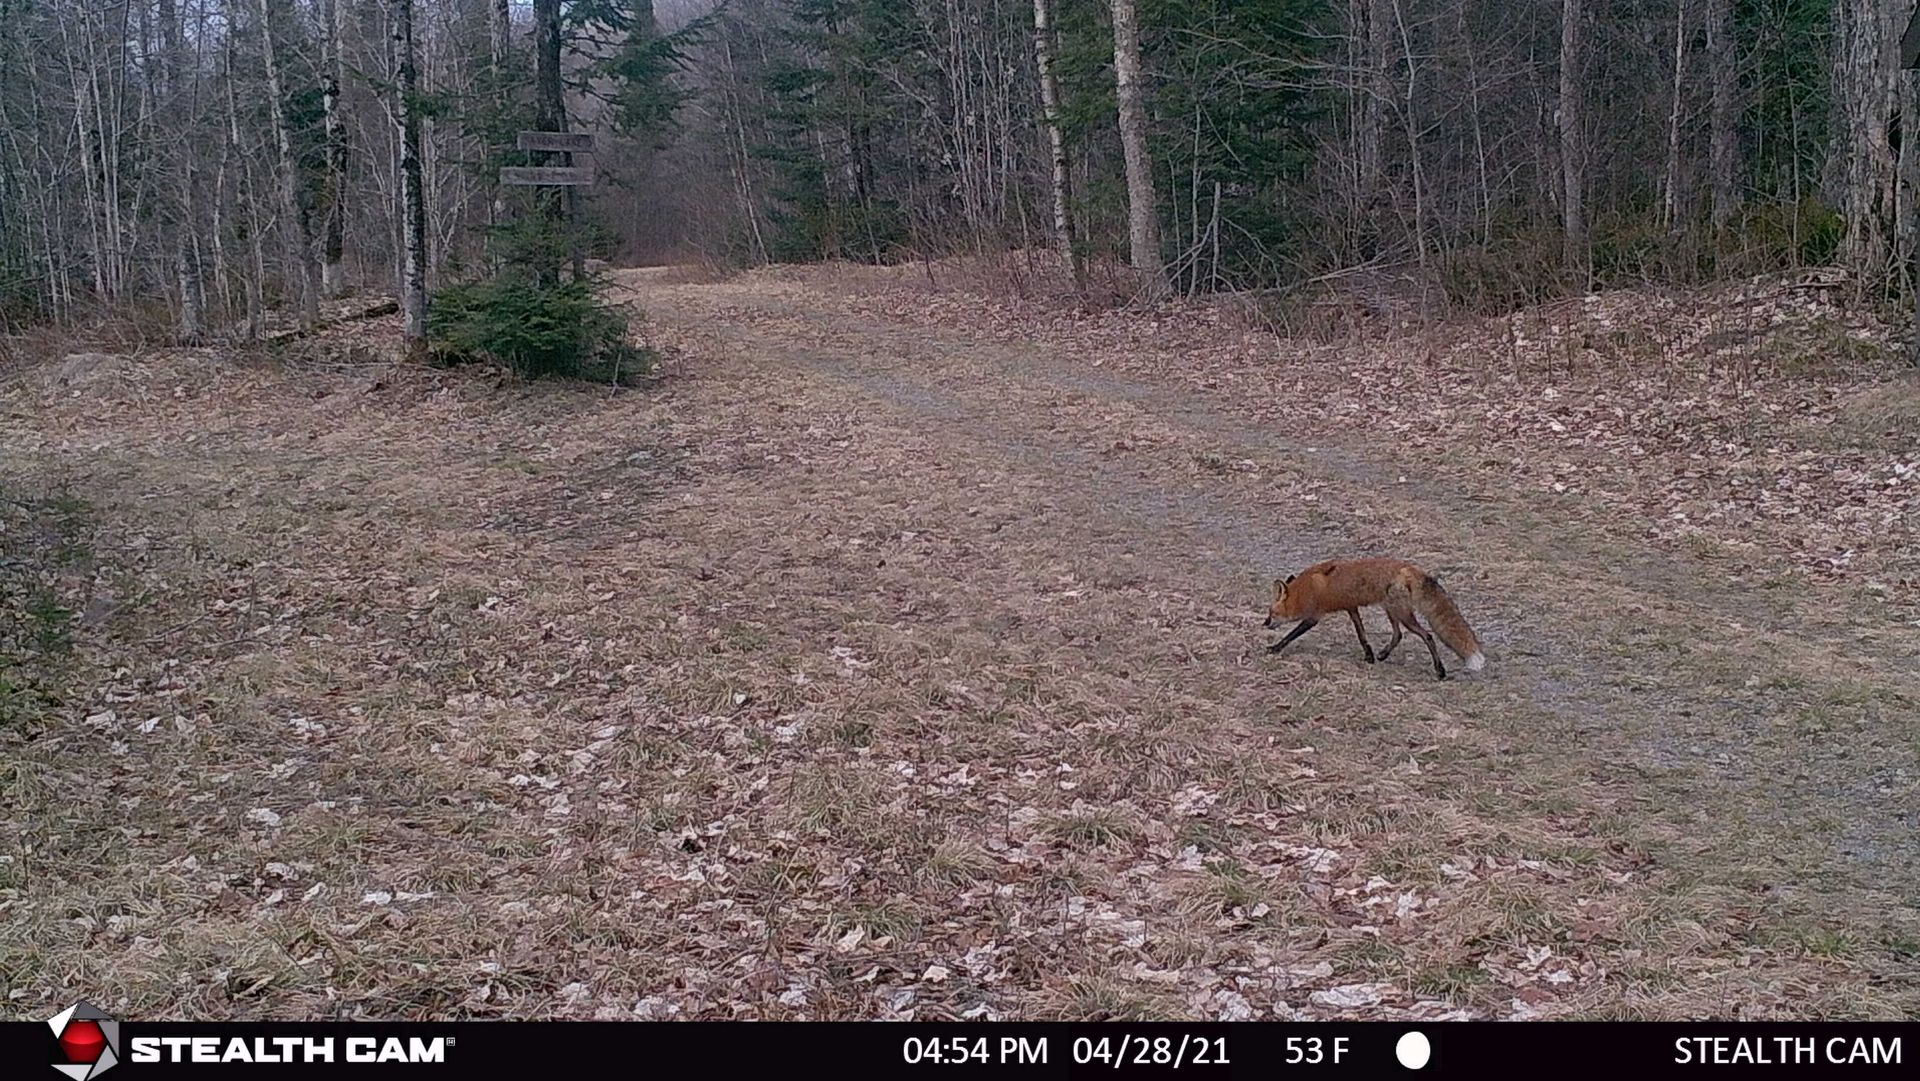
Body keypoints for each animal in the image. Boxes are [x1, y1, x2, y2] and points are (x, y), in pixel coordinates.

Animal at [1263, 558, 1485, 680]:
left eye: (1271, 613)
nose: (1264, 624)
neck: (1304, 590)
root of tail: (1408, 568)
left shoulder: (1313, 617)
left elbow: (1291, 635)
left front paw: (1275, 648)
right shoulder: (1351, 608)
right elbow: (1362, 635)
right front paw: (1369, 656)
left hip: (1402, 614)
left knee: (1427, 636)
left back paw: (1440, 671)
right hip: (1392, 611)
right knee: (1398, 635)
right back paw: (1383, 655)